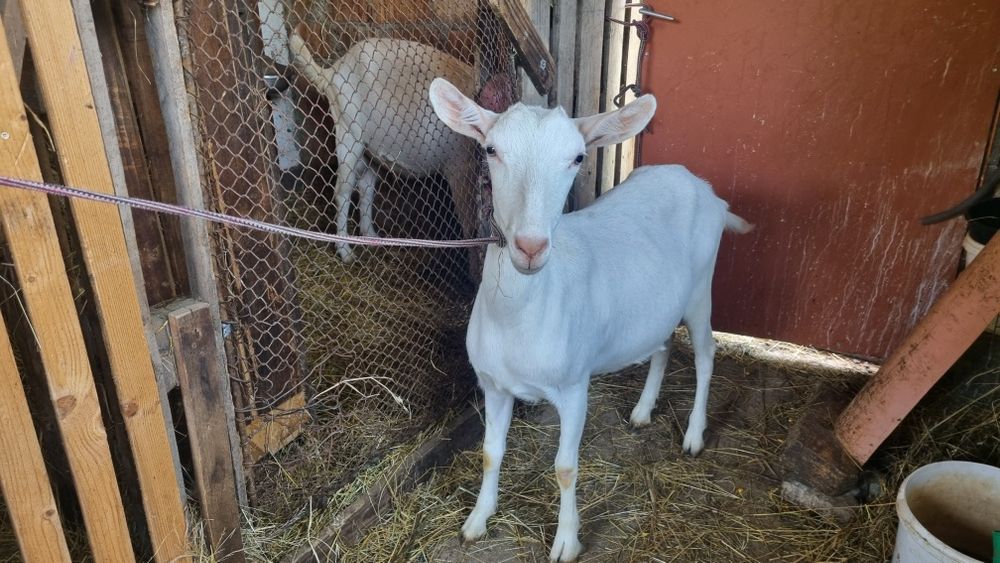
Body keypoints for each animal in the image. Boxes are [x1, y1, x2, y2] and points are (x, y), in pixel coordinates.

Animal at [288, 32, 478, 262]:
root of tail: (333, 71)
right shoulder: (461, 169)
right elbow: (469, 222)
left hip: (372, 147)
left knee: (366, 187)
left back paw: (371, 235)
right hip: (348, 132)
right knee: (343, 190)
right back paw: (345, 250)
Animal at [429, 78, 752, 561]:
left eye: (578, 157)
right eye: (490, 149)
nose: (530, 246)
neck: (518, 319)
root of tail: (706, 189)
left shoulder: (574, 386)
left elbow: (565, 467)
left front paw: (566, 541)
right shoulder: (494, 385)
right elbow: (490, 452)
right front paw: (477, 521)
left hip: (701, 289)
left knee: (706, 356)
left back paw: (694, 435)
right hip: (656, 306)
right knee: (662, 345)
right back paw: (642, 411)